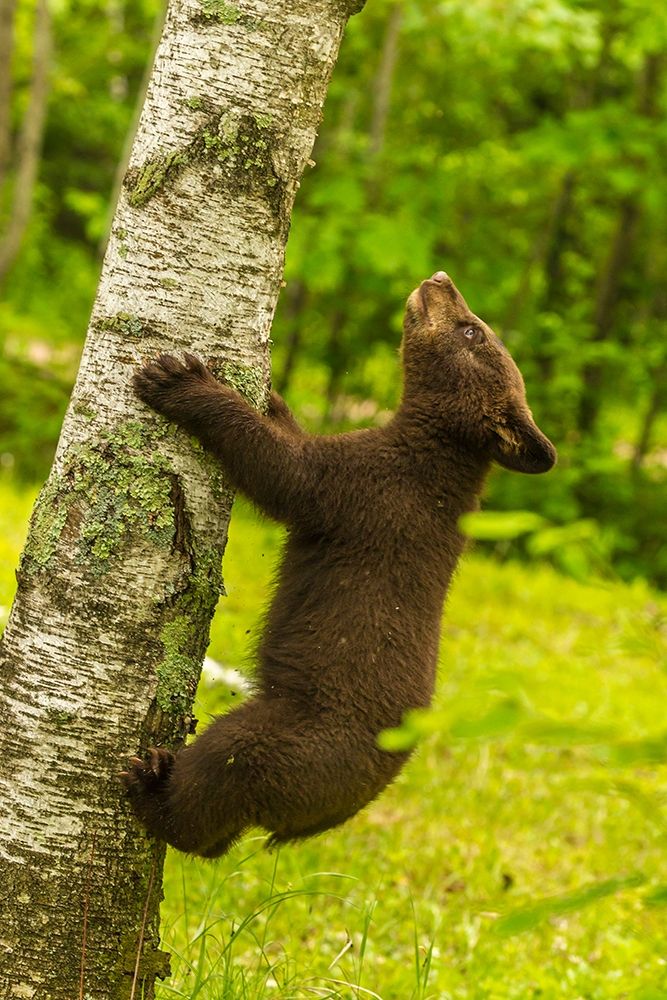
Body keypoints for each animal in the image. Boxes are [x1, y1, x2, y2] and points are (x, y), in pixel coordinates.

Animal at [121, 271, 556, 858]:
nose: (439, 278)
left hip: (289, 740)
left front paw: (179, 378)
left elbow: (283, 471)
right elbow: (293, 442)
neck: (429, 452)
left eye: (472, 331)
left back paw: (150, 788)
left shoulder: (366, 490)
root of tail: (328, 817)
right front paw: (271, 395)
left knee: (221, 770)